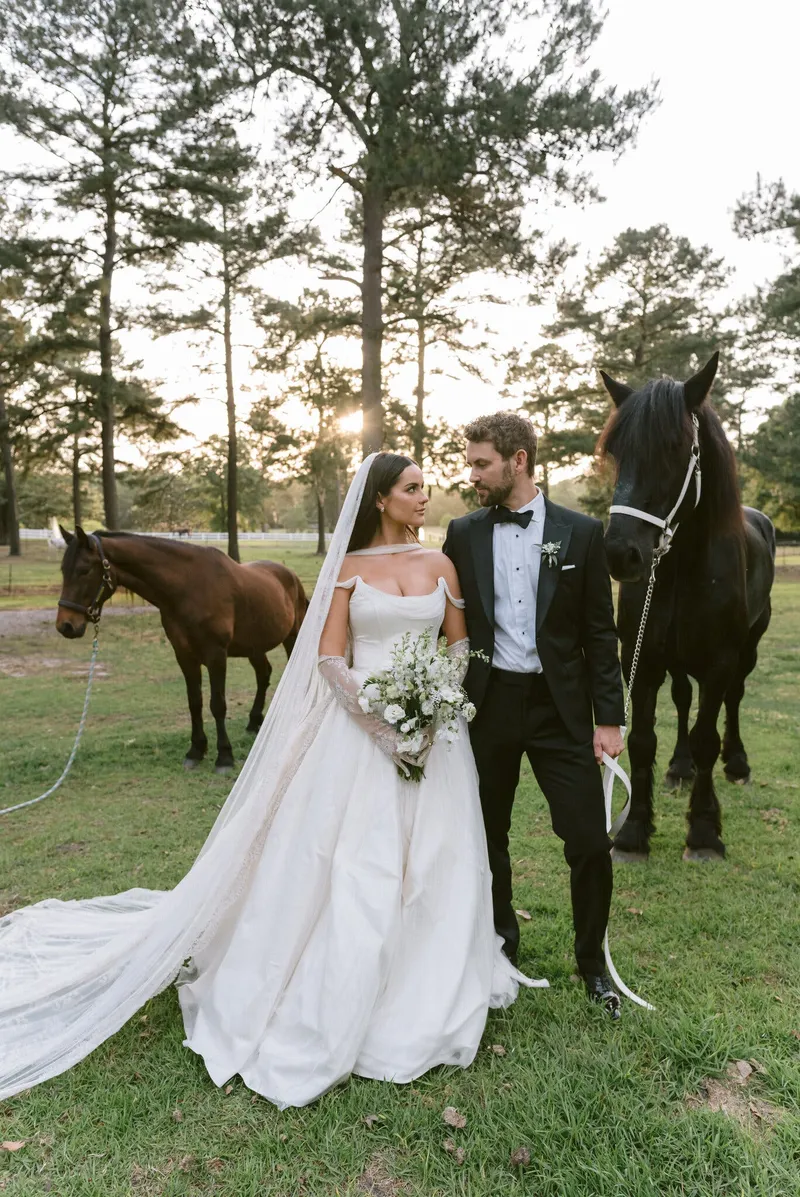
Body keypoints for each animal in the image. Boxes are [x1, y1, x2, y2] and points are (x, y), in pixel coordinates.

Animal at [54, 526, 308, 770]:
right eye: (63, 570)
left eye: (85, 570)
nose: (65, 625)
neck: (189, 587)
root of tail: (292, 576)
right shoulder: (184, 655)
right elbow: (194, 702)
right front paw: (196, 751)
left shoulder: (216, 655)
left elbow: (217, 704)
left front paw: (224, 757)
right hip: (254, 646)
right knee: (263, 674)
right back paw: (255, 721)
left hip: (292, 637)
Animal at [598, 354, 776, 861]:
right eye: (616, 451)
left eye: (677, 448)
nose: (620, 554)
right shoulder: (640, 659)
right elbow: (642, 739)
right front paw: (634, 832)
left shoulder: (718, 664)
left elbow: (706, 739)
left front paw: (703, 831)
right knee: (680, 699)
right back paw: (678, 769)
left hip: (748, 649)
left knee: (734, 700)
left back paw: (736, 764)